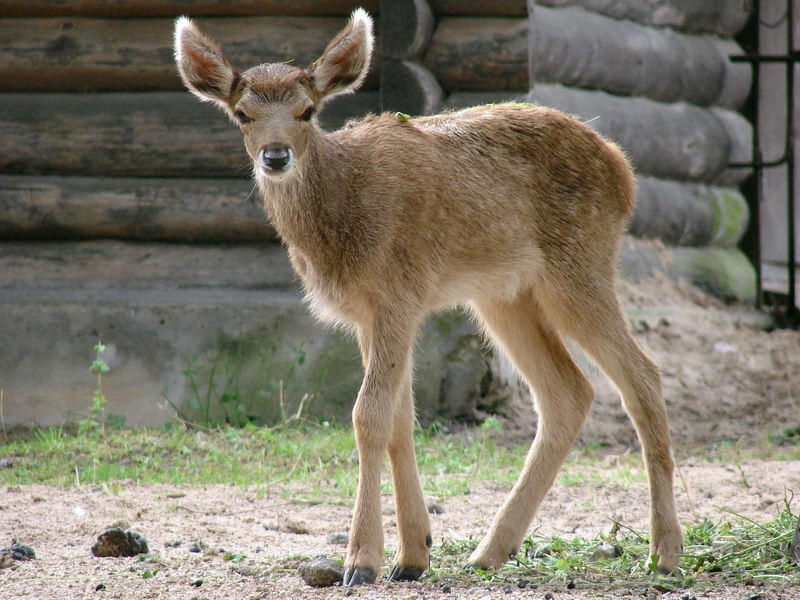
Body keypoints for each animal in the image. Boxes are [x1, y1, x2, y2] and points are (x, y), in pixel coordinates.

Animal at [174, 8, 683, 586]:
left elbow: (368, 415)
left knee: (642, 375)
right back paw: (490, 550)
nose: (275, 156)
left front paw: (362, 560)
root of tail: (624, 172)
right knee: (569, 391)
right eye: (242, 113)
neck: (340, 224)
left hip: (580, 265)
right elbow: (400, 420)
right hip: (505, 294)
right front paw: (413, 554)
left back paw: (664, 551)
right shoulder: (367, 313)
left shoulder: (400, 291)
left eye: (308, 111)